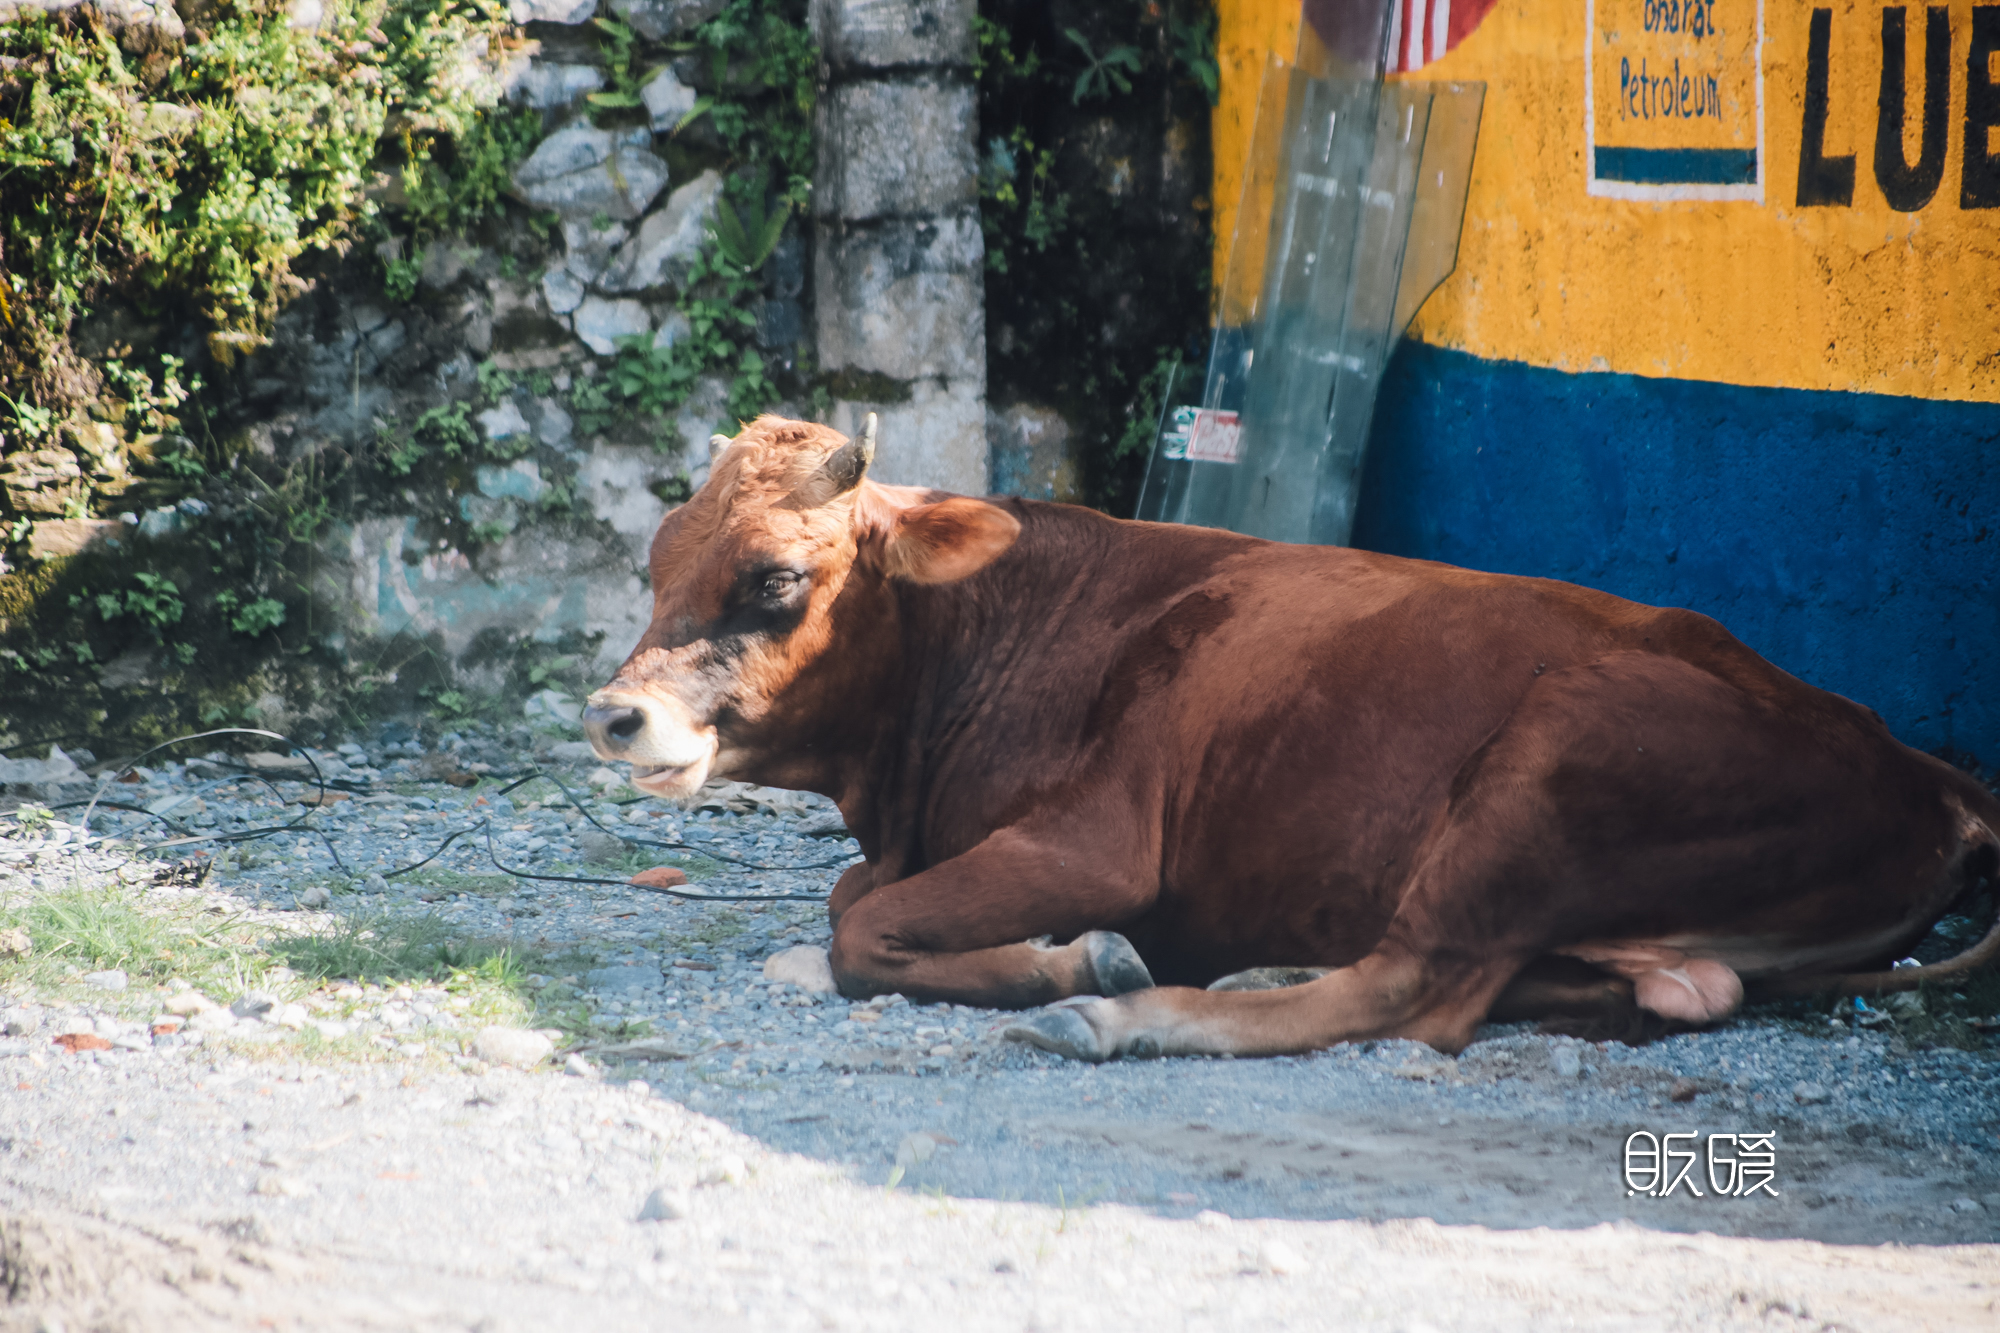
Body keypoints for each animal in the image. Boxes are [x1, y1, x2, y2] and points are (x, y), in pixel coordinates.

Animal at [584, 416, 2000, 1056]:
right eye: (655, 565)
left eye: (774, 578)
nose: (612, 713)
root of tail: (1923, 772)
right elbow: (844, 900)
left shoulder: (1099, 842)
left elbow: (862, 927)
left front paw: (1070, 962)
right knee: (1626, 991)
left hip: (1550, 756)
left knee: (1413, 992)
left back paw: (1134, 1012)